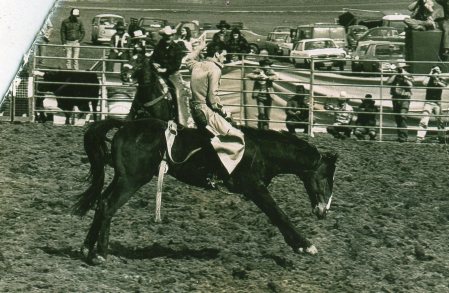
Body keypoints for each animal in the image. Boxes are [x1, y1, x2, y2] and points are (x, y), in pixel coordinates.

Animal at [74, 117, 336, 264]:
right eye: (326, 177)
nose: (323, 211)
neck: (259, 150)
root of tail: (125, 125)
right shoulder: (254, 187)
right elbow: (278, 214)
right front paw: (305, 245)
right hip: (131, 179)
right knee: (108, 205)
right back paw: (100, 254)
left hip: (122, 178)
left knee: (101, 203)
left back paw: (87, 248)